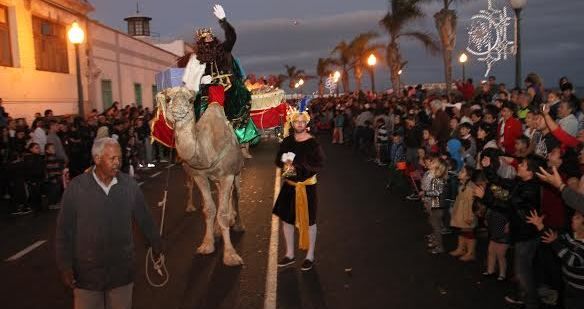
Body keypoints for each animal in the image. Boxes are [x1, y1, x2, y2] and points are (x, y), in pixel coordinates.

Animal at [155, 86, 244, 264]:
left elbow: (222, 213)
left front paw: (230, 256)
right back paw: (218, 229)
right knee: (222, 197)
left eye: (190, 100)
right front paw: (207, 245)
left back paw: (237, 224)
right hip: (216, 179)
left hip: (236, 172)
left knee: (236, 193)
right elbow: (209, 209)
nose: (178, 110)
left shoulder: (227, 175)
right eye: (168, 98)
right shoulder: (199, 176)